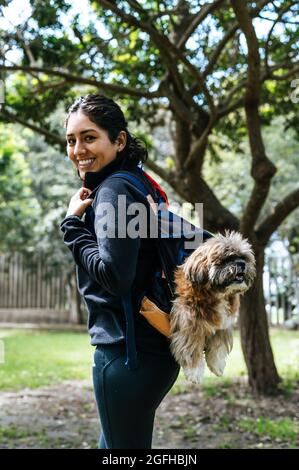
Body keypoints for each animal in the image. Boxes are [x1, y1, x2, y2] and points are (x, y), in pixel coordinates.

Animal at [170, 230, 256, 382]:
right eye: (227, 258)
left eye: (243, 257)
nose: (241, 263)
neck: (216, 294)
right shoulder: (188, 321)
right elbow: (191, 347)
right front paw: (194, 371)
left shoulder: (223, 324)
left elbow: (218, 346)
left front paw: (217, 365)